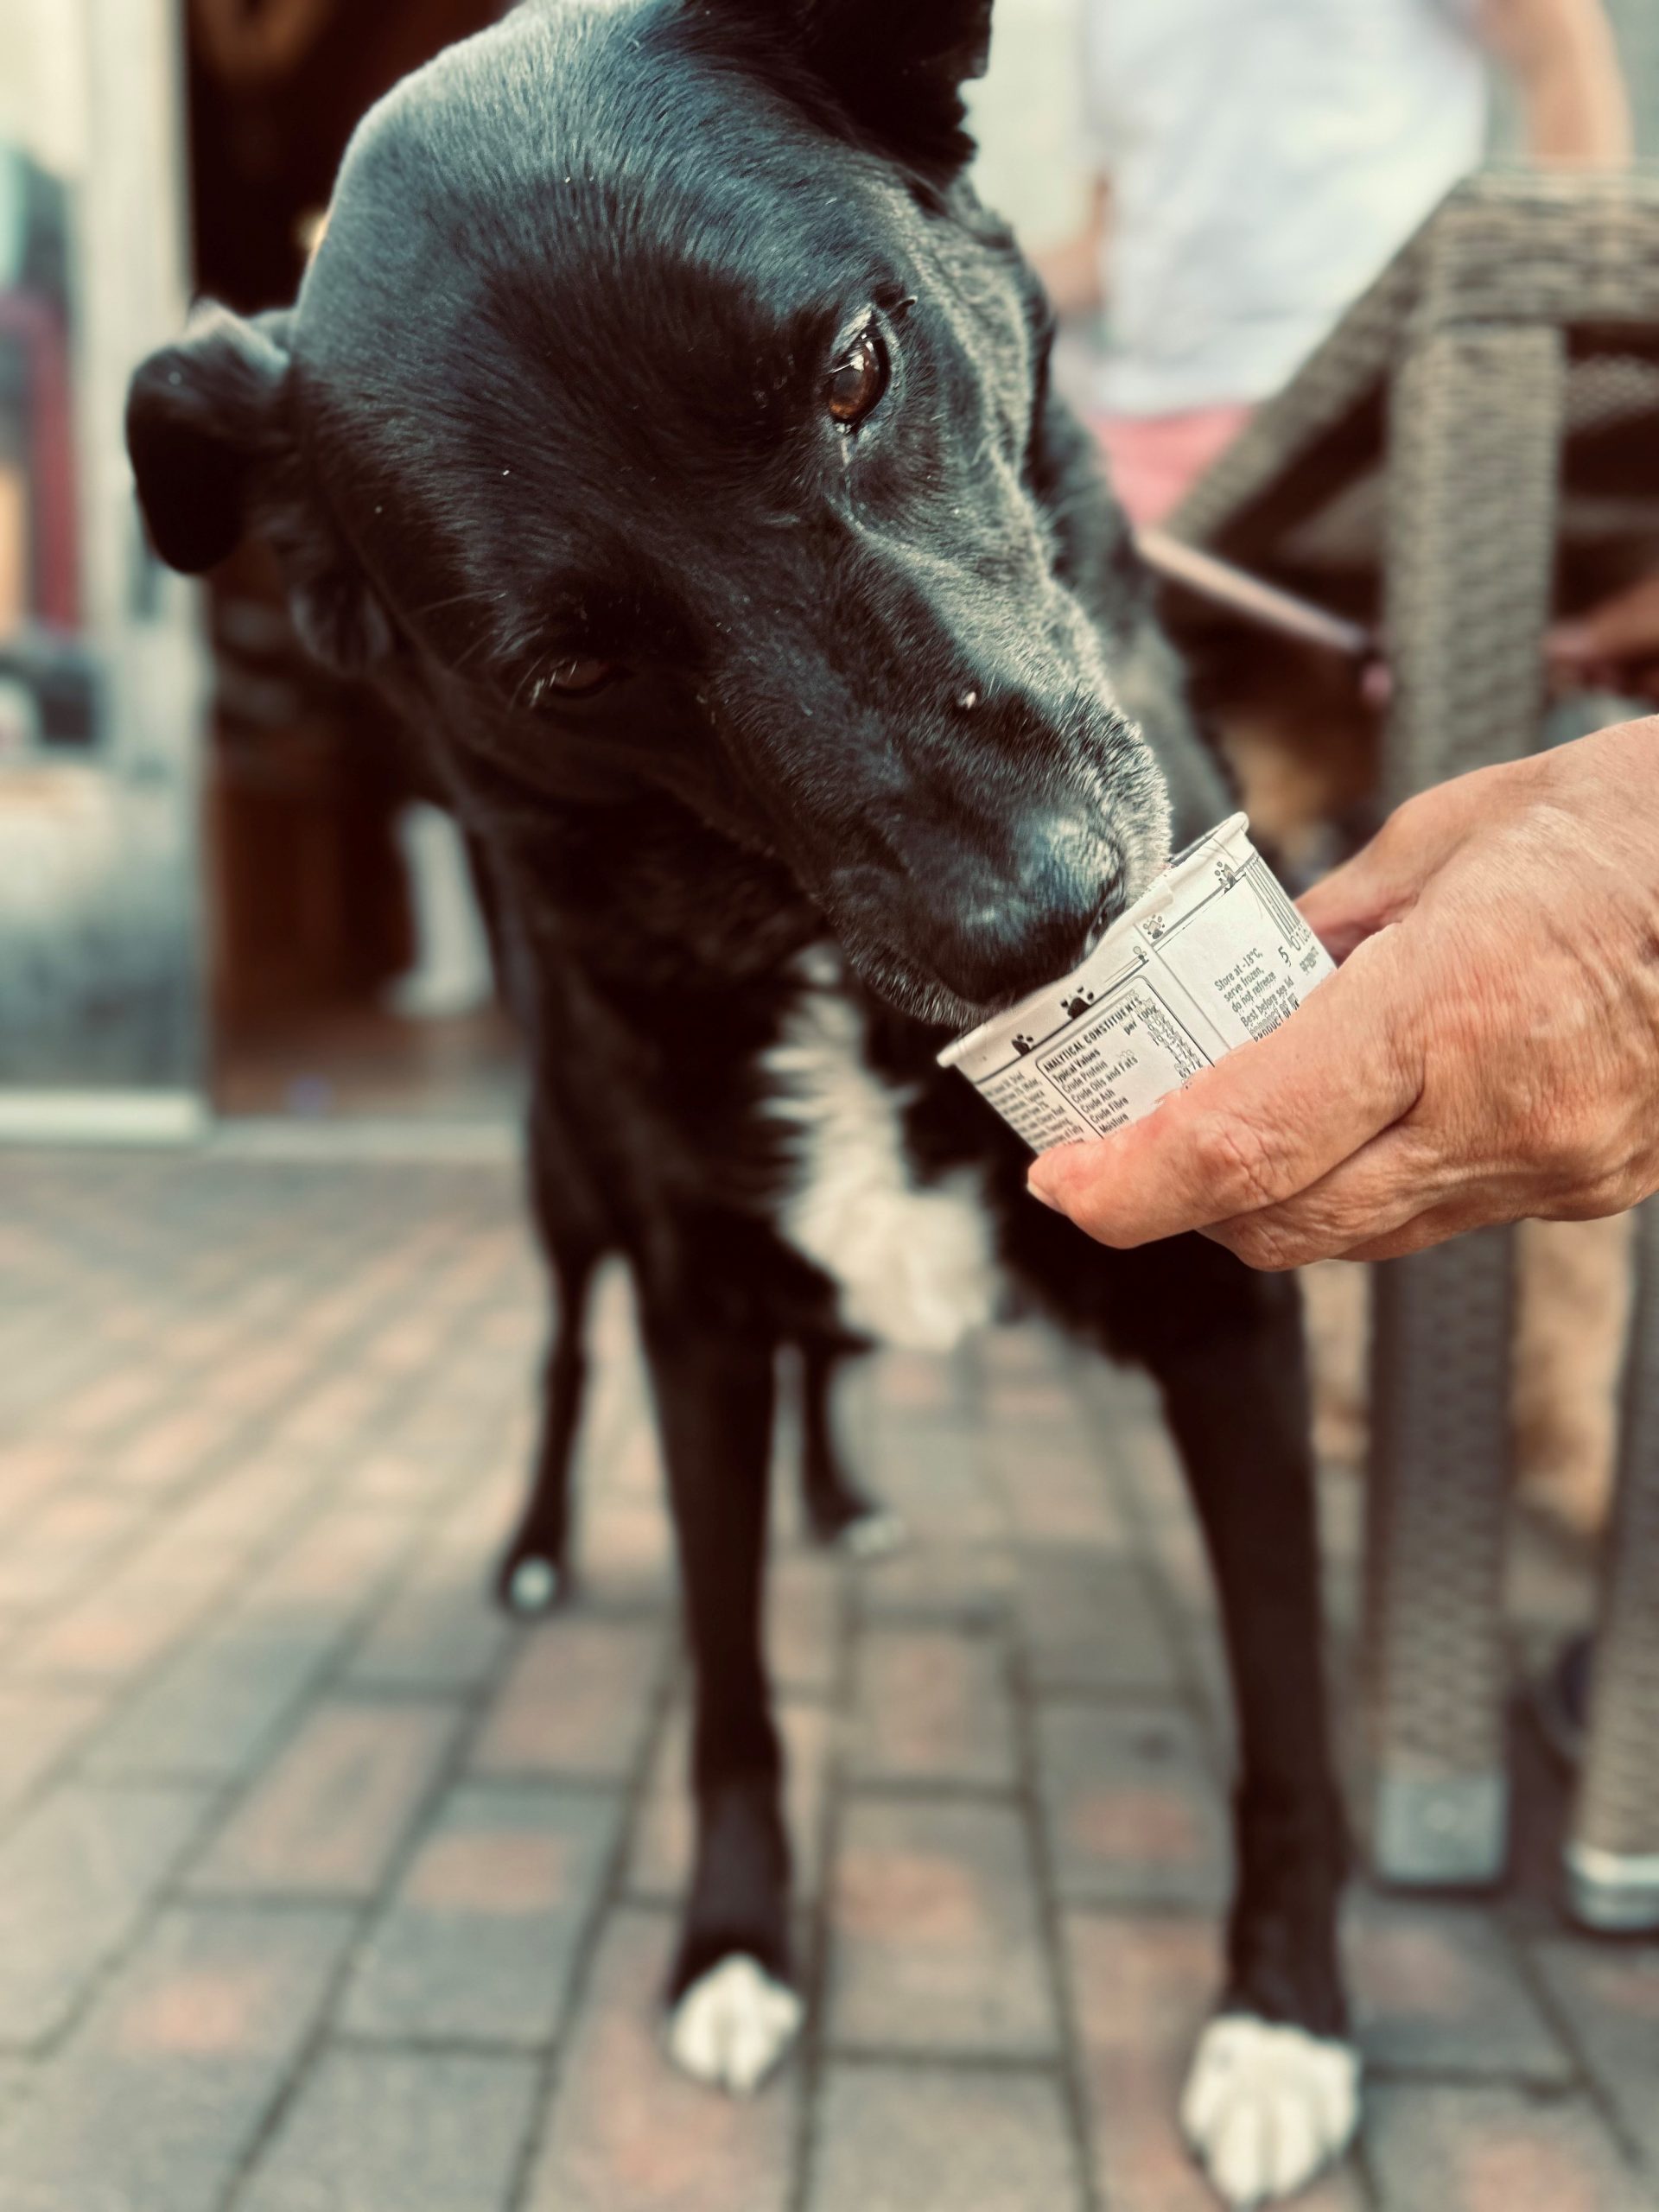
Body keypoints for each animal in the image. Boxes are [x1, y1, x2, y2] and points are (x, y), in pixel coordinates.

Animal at [126, 9, 1353, 2202]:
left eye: (854, 370)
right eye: (565, 668)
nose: (1044, 918)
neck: (815, 969)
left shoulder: (1230, 1298)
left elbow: (1286, 1696)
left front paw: (1284, 2013)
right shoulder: (693, 1306)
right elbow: (728, 1683)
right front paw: (732, 1943)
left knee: (831, 1358)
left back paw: (846, 1495)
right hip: (567, 1197)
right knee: (560, 1362)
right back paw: (543, 1546)